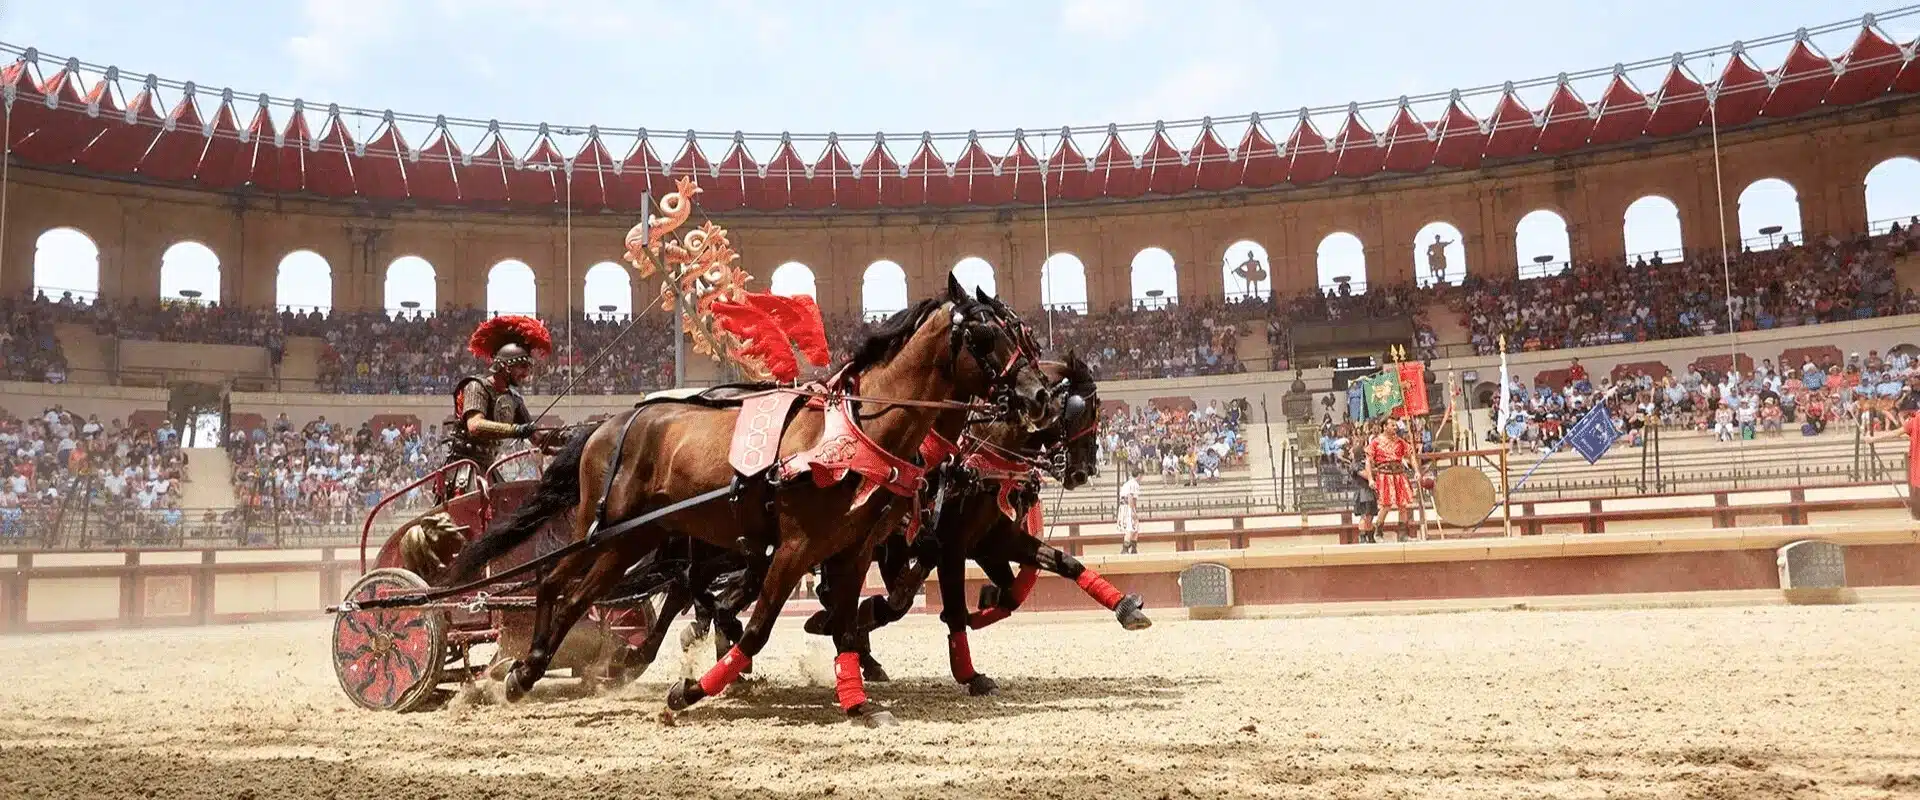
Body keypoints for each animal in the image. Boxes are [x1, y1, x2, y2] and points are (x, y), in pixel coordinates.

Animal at [443, 276, 1059, 721]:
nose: (1040, 397)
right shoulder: (797, 546)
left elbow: (844, 619)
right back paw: (526, 671)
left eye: (1022, 335)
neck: (852, 436)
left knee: (577, 594)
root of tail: (607, 423)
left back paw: (530, 672)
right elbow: (763, 626)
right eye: (985, 336)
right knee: (565, 587)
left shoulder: (856, 548)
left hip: (639, 538)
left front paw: (858, 700)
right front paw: (689, 691)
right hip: (611, 532)